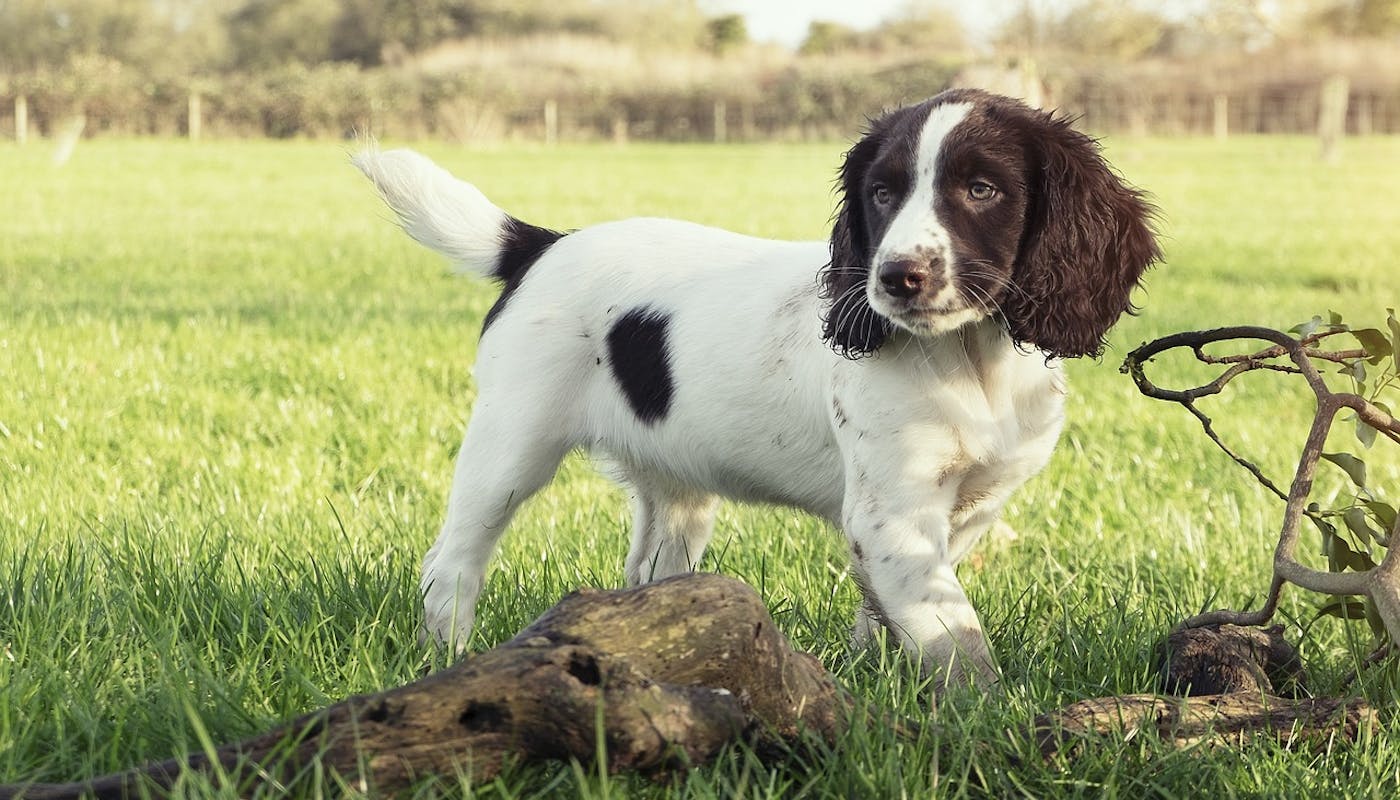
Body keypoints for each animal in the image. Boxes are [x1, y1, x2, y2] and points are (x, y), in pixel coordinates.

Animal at [352, 86, 1159, 689]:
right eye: (881, 194)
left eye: (983, 189)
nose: (896, 278)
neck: (969, 357)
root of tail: (541, 244)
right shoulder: (892, 514)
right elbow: (954, 636)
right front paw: (986, 717)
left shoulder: (967, 509)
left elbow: (895, 613)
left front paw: (876, 682)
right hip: (512, 443)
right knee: (453, 562)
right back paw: (453, 663)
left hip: (675, 490)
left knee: (650, 576)